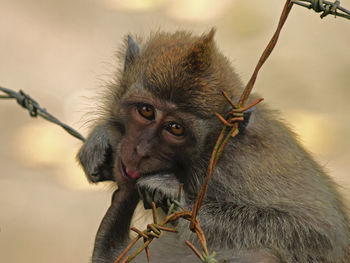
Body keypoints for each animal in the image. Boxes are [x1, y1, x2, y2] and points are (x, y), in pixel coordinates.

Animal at [78, 29, 348, 262]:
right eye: (146, 111)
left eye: (175, 128)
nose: (141, 151)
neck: (210, 151)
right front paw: (102, 136)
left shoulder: (238, 167)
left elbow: (318, 232)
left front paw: (178, 197)